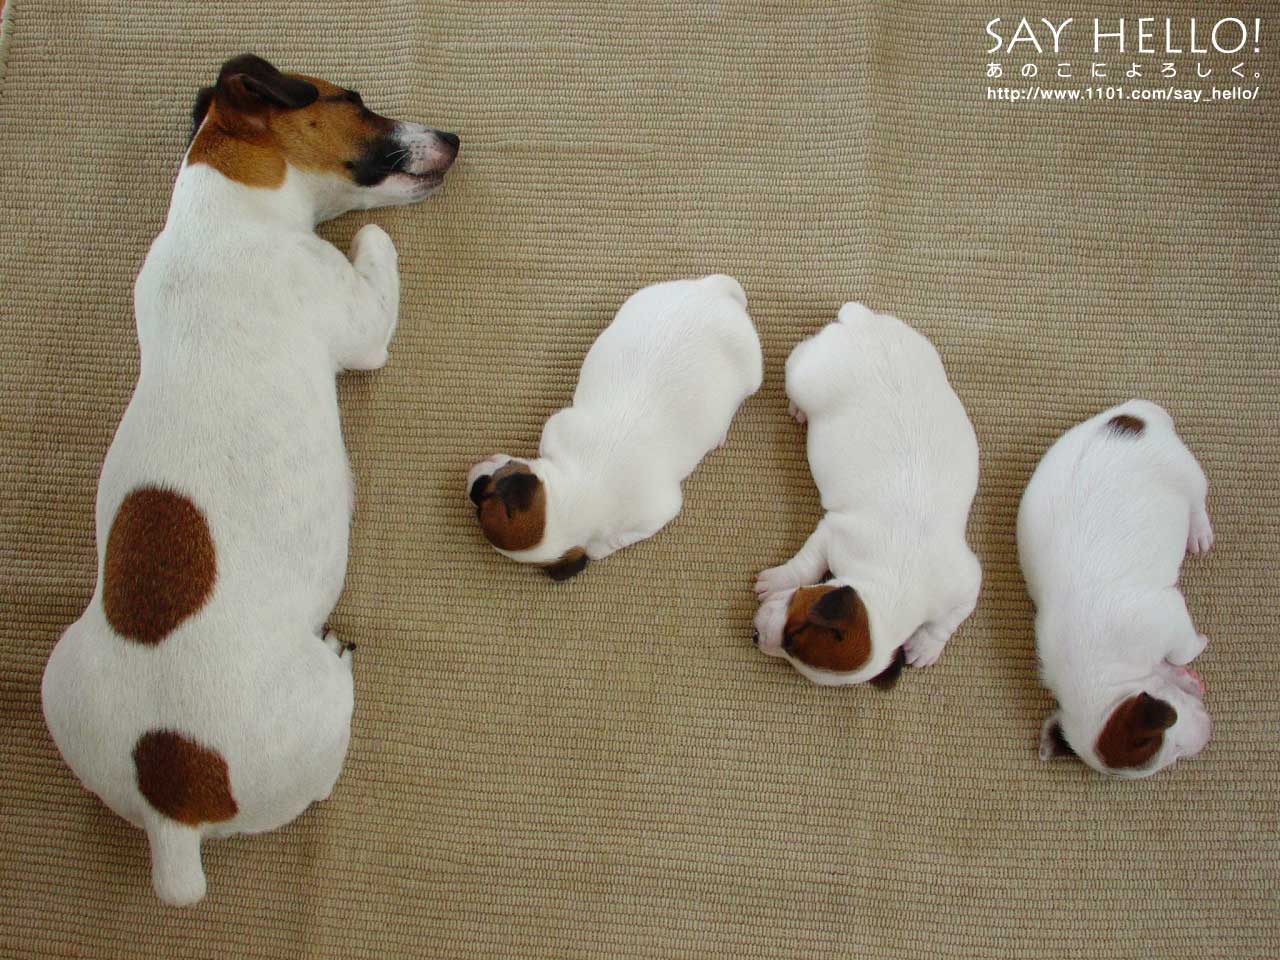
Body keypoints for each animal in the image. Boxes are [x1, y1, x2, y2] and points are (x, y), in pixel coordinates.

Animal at [40, 54, 458, 905]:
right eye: (353, 99)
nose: (454, 138)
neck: (223, 215)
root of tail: (175, 803)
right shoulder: (359, 325)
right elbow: (373, 260)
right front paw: (372, 236)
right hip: (318, 712)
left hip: (52, 681)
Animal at [467, 275, 762, 579]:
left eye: (487, 494)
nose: (471, 479)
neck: (581, 490)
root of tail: (712, 291)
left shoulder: (660, 511)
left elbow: (607, 544)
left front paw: (602, 546)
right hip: (645, 297)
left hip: (752, 374)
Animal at [753, 303, 982, 687]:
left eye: (793, 637)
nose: (755, 636)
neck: (894, 586)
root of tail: (861, 322)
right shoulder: (833, 533)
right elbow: (805, 564)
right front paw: (779, 578)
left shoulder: (967, 582)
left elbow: (949, 619)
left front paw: (926, 644)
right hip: (806, 373)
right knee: (797, 363)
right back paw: (798, 407)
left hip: (920, 349)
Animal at [1018, 400, 1213, 779]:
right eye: (1172, 752)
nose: (1206, 736)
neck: (1110, 675)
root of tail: (1131, 414)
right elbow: (1171, 663)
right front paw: (1186, 678)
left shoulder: (1169, 614)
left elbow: (1183, 649)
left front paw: (1199, 646)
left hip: (1187, 472)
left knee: (1198, 500)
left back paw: (1199, 533)